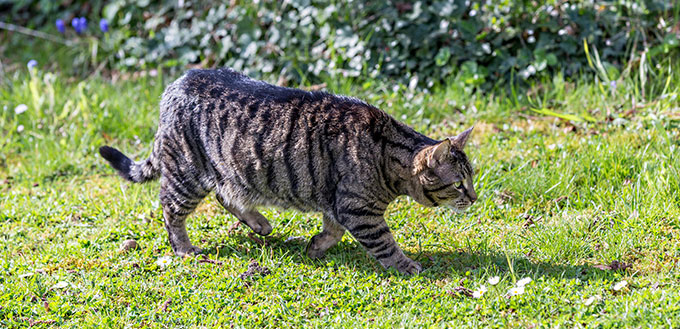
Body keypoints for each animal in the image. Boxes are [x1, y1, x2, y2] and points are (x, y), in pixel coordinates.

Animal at [99, 68, 478, 274]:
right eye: (460, 184)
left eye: (471, 179)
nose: (475, 198)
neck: (387, 152)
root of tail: (177, 83)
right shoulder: (357, 208)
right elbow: (383, 242)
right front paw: (405, 265)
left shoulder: (338, 203)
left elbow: (333, 231)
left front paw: (316, 247)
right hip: (187, 172)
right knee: (169, 209)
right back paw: (184, 248)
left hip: (230, 170)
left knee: (224, 193)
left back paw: (258, 223)